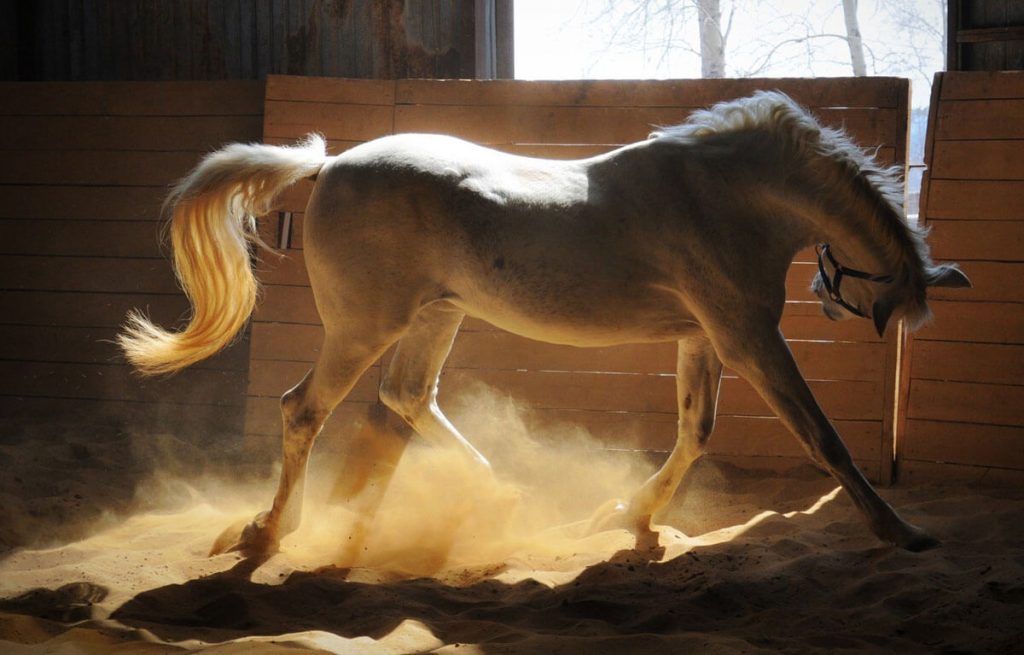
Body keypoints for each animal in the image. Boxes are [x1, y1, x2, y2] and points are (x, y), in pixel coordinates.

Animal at [119, 91, 970, 559]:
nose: (835, 301)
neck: (725, 193)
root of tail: (329, 166)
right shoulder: (748, 336)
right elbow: (822, 438)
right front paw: (901, 530)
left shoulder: (704, 339)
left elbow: (695, 432)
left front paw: (629, 516)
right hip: (363, 326)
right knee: (305, 409)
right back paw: (268, 531)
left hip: (436, 316)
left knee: (407, 397)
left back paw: (501, 494)